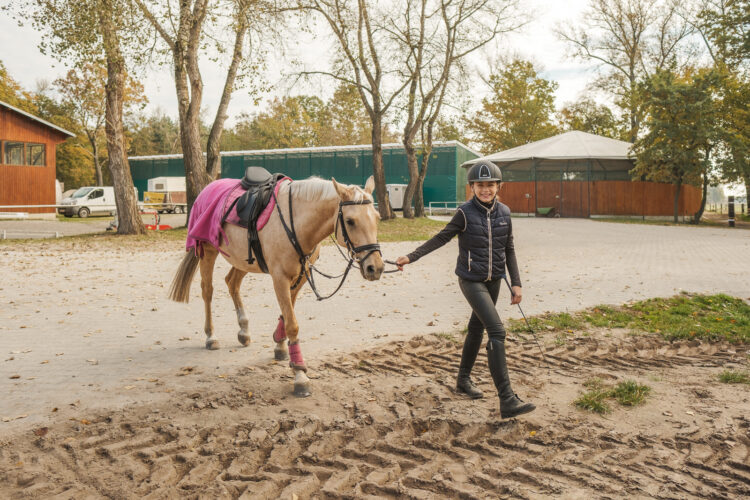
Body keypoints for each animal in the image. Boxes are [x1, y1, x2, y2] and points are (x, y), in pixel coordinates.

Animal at [168, 178, 384, 396]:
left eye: (377, 218)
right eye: (350, 221)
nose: (375, 267)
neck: (297, 222)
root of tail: (208, 188)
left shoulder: (301, 274)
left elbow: (288, 312)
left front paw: (280, 344)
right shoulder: (279, 277)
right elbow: (292, 323)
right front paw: (300, 374)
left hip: (243, 261)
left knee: (232, 282)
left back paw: (244, 331)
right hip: (208, 251)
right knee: (208, 291)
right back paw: (211, 336)